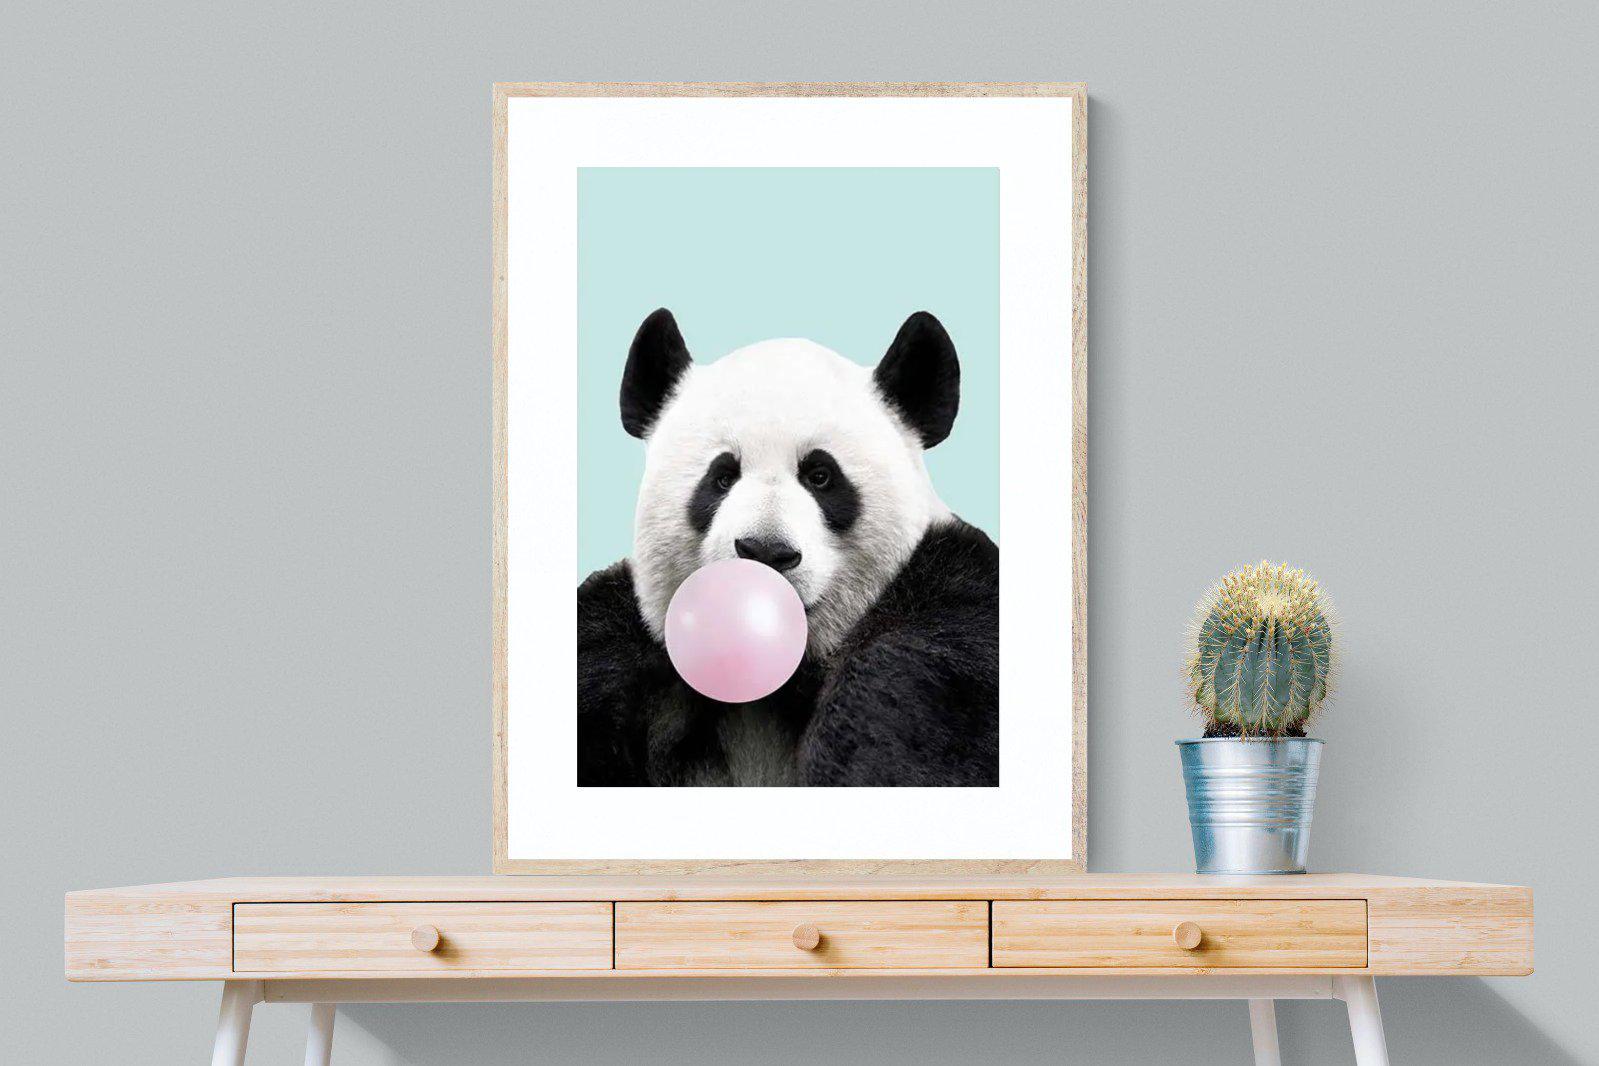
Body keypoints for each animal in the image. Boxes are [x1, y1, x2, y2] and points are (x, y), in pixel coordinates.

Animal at [577, 308, 998, 787]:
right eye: (722, 477)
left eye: (821, 476)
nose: (765, 552)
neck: (775, 683)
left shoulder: (953, 608)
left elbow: (910, 699)